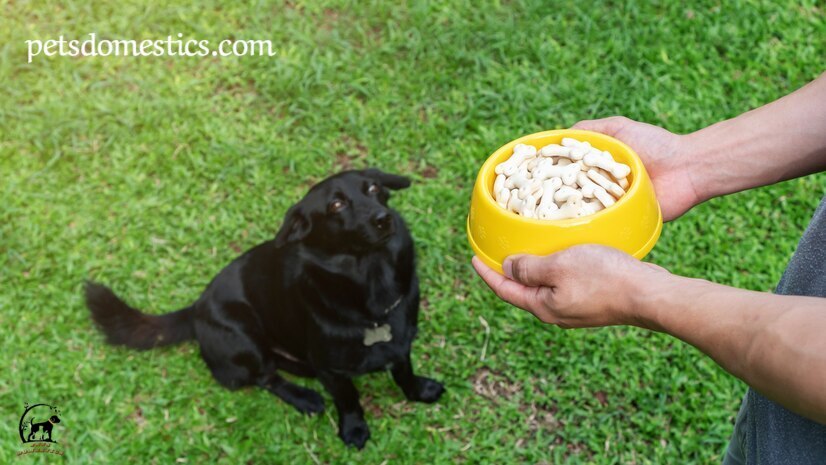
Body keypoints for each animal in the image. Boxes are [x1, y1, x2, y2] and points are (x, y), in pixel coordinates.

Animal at [84, 169, 444, 448]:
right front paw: (354, 429)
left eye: (373, 189)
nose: (384, 219)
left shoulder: (401, 343)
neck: (372, 287)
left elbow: (403, 372)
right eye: (336, 204)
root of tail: (196, 307)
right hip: (244, 335)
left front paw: (419, 390)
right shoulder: (331, 369)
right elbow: (349, 399)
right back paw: (303, 396)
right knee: (265, 377)